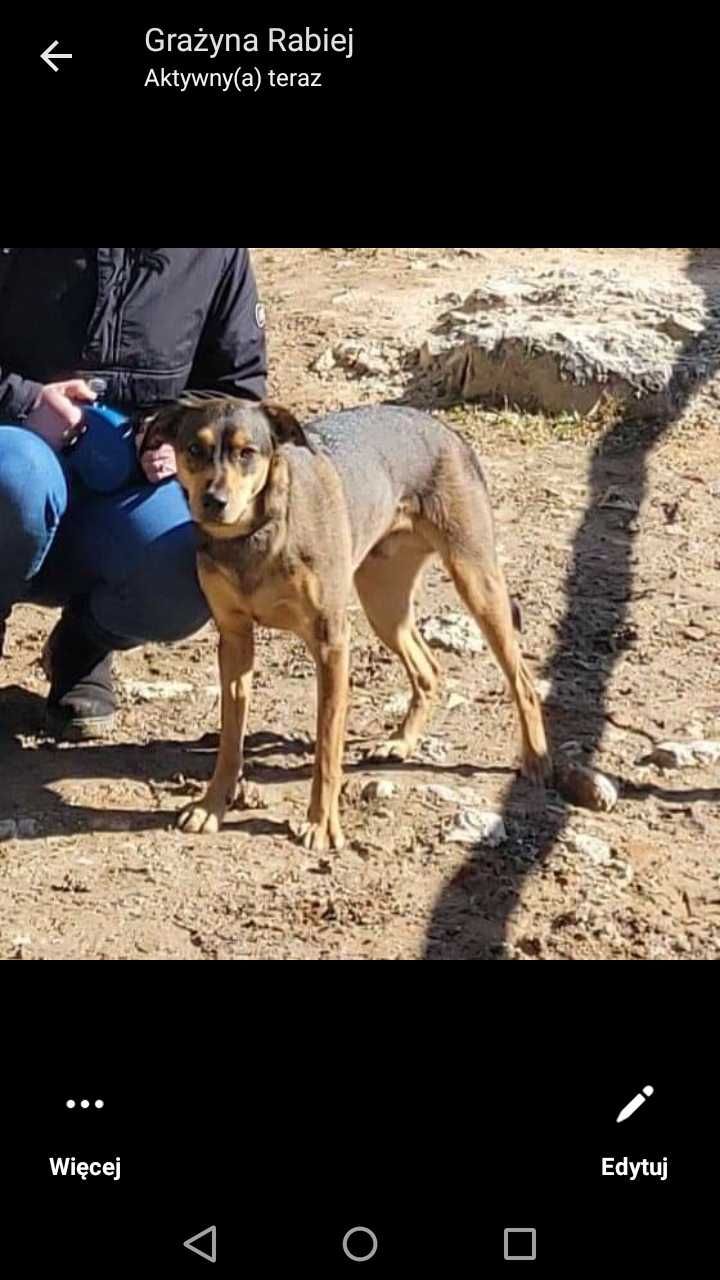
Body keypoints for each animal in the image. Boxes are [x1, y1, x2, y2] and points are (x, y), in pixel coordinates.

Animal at [147, 389, 548, 849]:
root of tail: (444, 428)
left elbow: (327, 748)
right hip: (383, 602)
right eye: (194, 450)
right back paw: (401, 743)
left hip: (477, 583)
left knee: (522, 680)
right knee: (428, 667)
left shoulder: (331, 642)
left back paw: (537, 758)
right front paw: (212, 805)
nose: (213, 502)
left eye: (247, 453)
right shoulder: (234, 639)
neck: (255, 536)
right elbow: (231, 738)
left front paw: (321, 824)